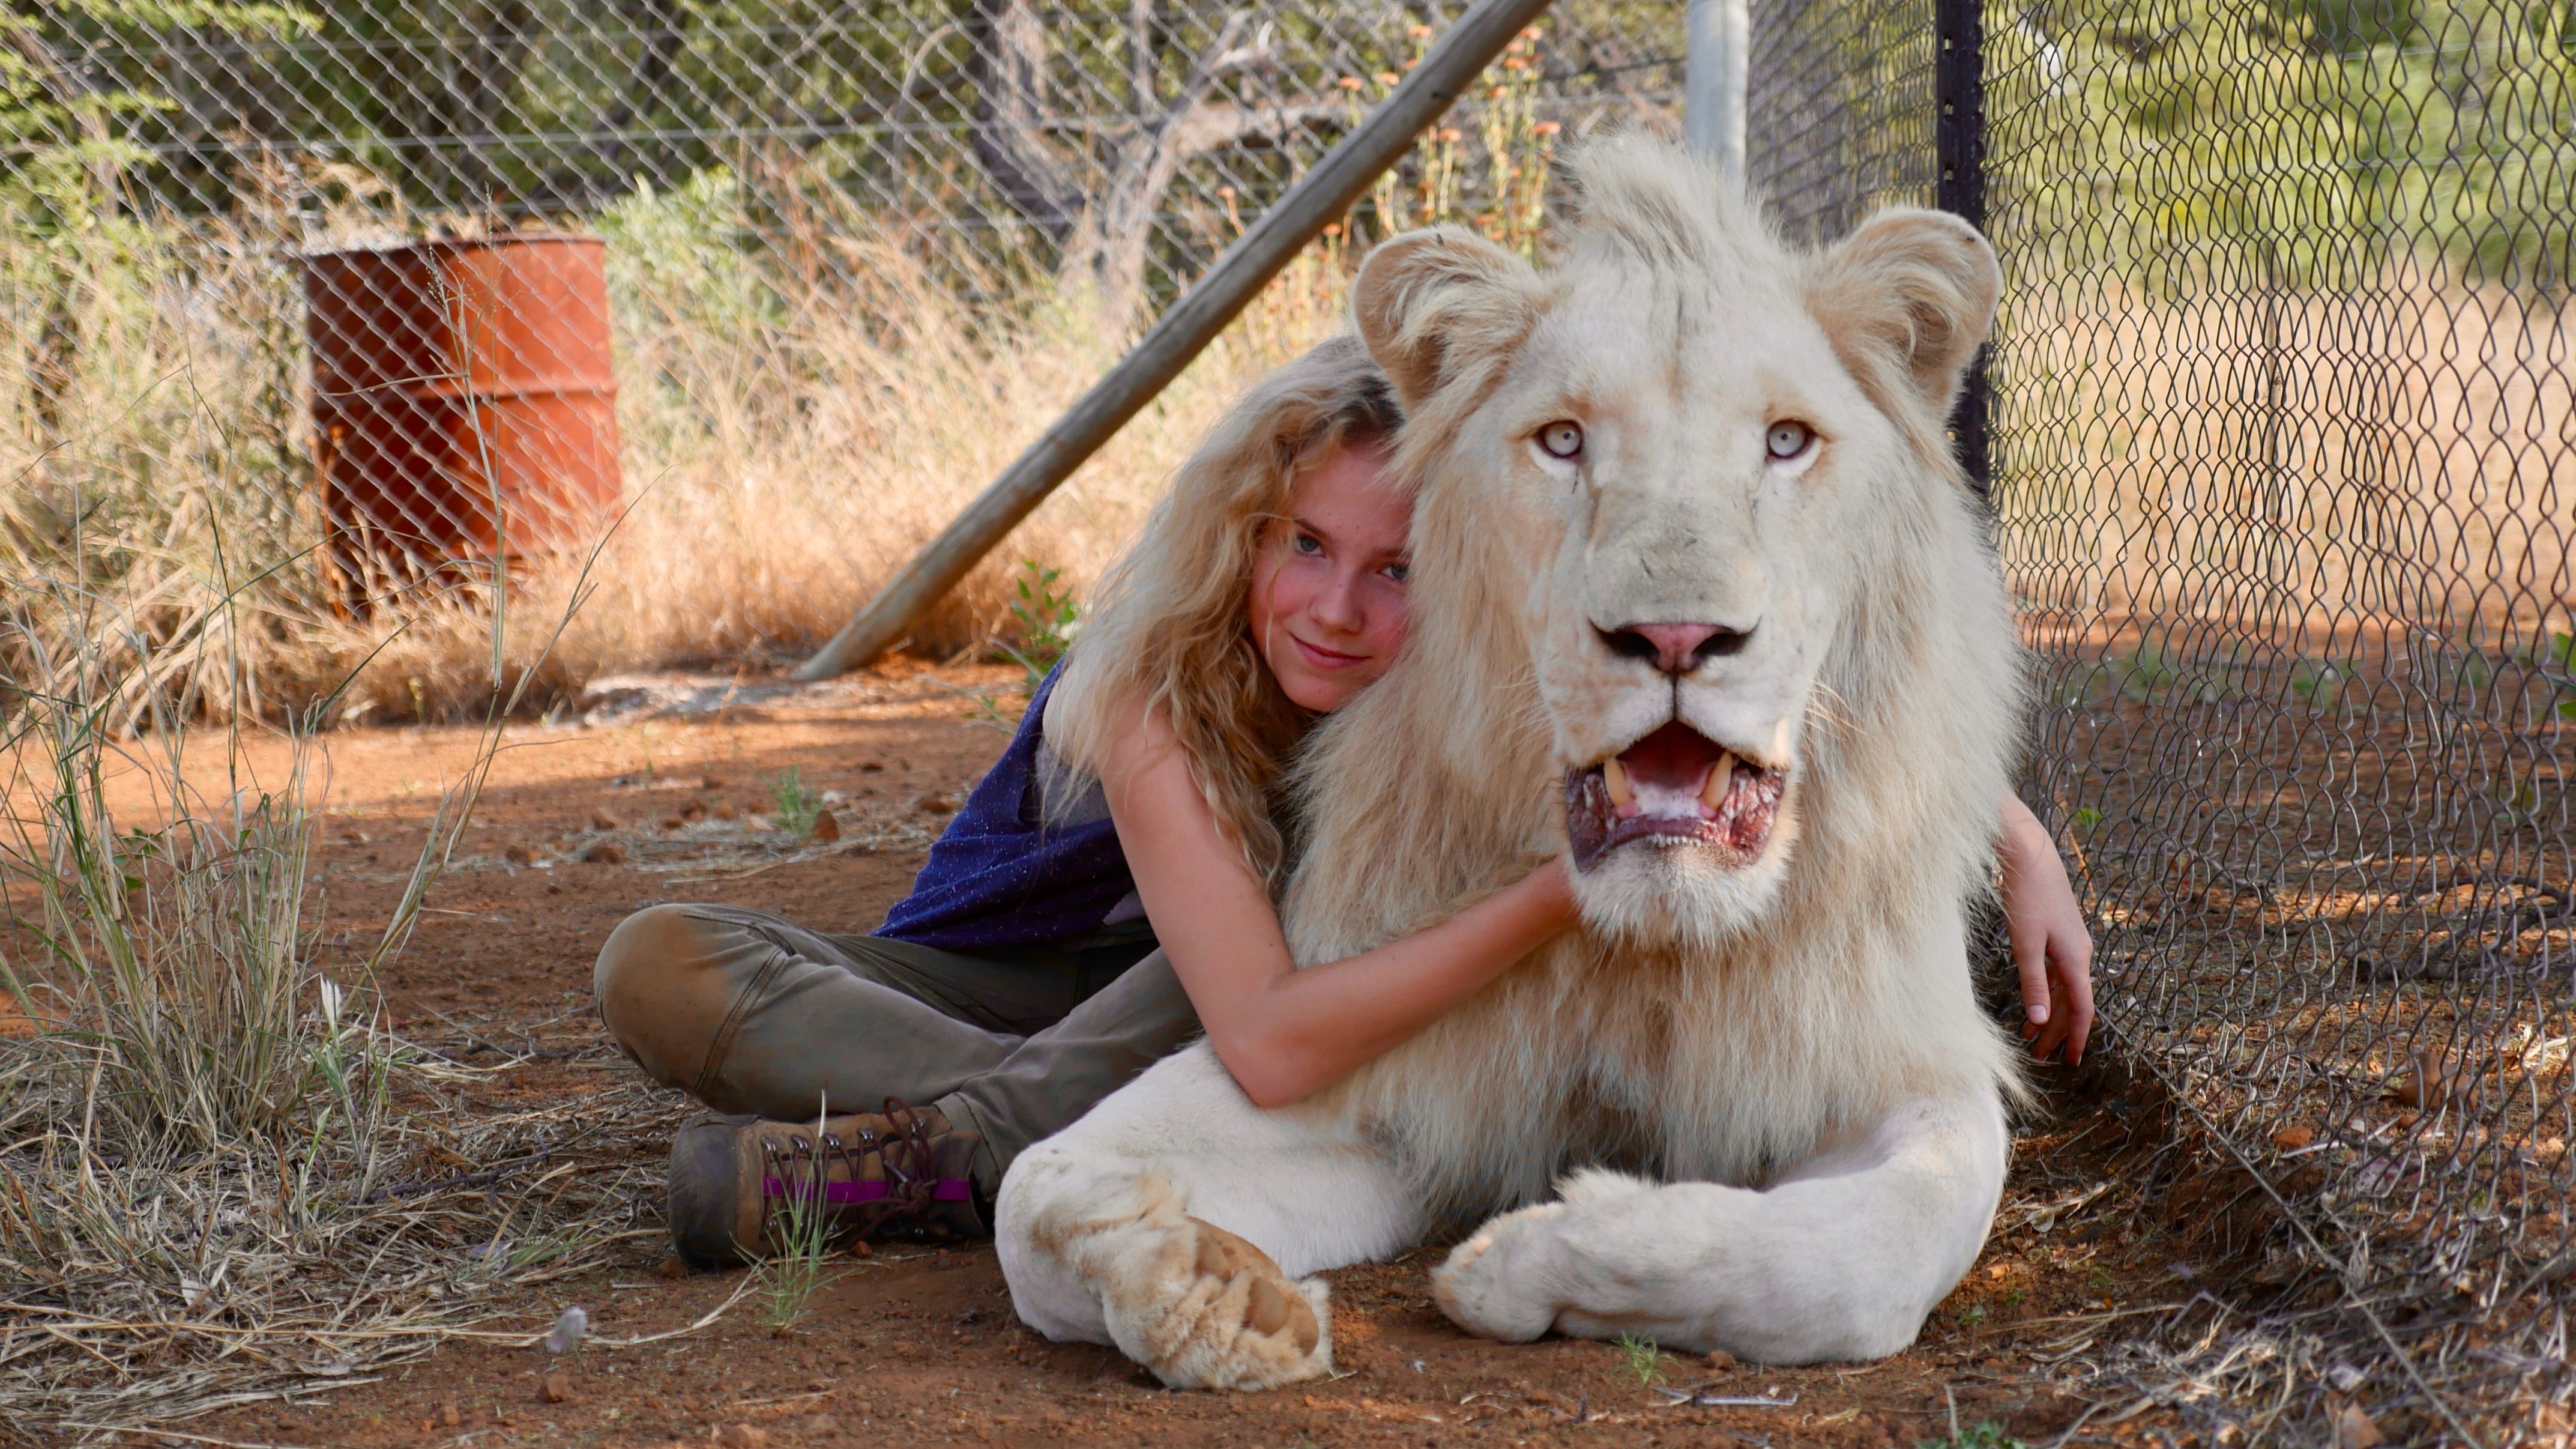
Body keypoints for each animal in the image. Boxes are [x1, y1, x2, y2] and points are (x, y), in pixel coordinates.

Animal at [994, 138, 2019, 1392]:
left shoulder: (1897, 1061)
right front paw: (1207, 1287)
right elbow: (1034, 1190)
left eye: (1785, 441)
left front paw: (1534, 1255)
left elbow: (1867, 1255)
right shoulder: (1379, 1061)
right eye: (1564, 440)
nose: (1675, 635)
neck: (1644, 949)